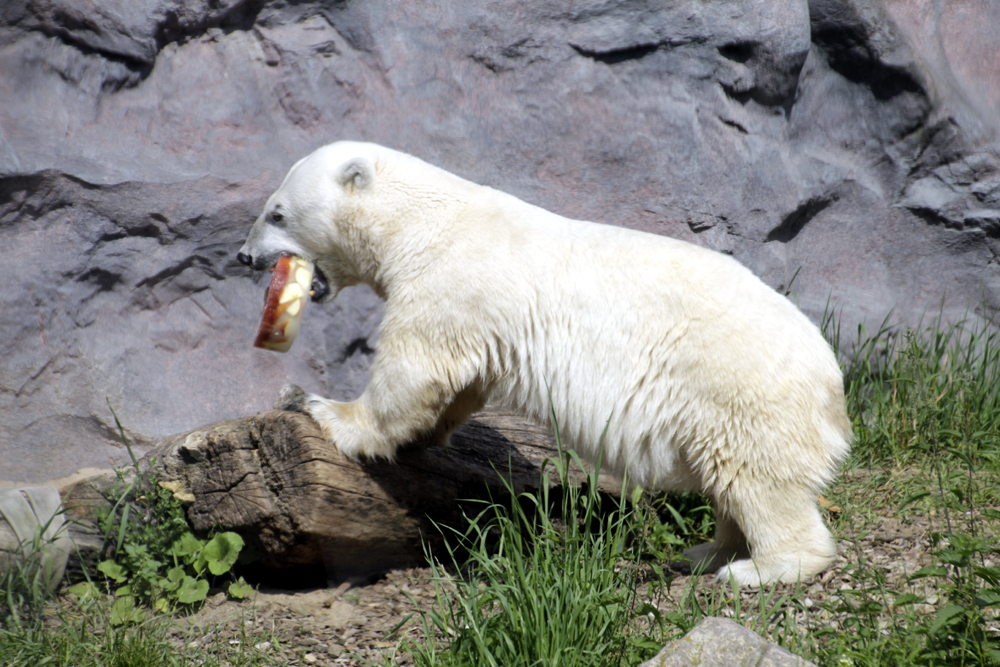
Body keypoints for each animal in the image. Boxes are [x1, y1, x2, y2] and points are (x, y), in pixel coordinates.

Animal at [236, 140, 852, 584]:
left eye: (277, 213)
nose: (243, 256)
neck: (419, 224)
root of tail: (834, 387)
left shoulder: (451, 283)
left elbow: (414, 369)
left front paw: (318, 406)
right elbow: (460, 385)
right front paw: (427, 437)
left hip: (739, 393)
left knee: (756, 481)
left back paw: (757, 569)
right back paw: (705, 551)